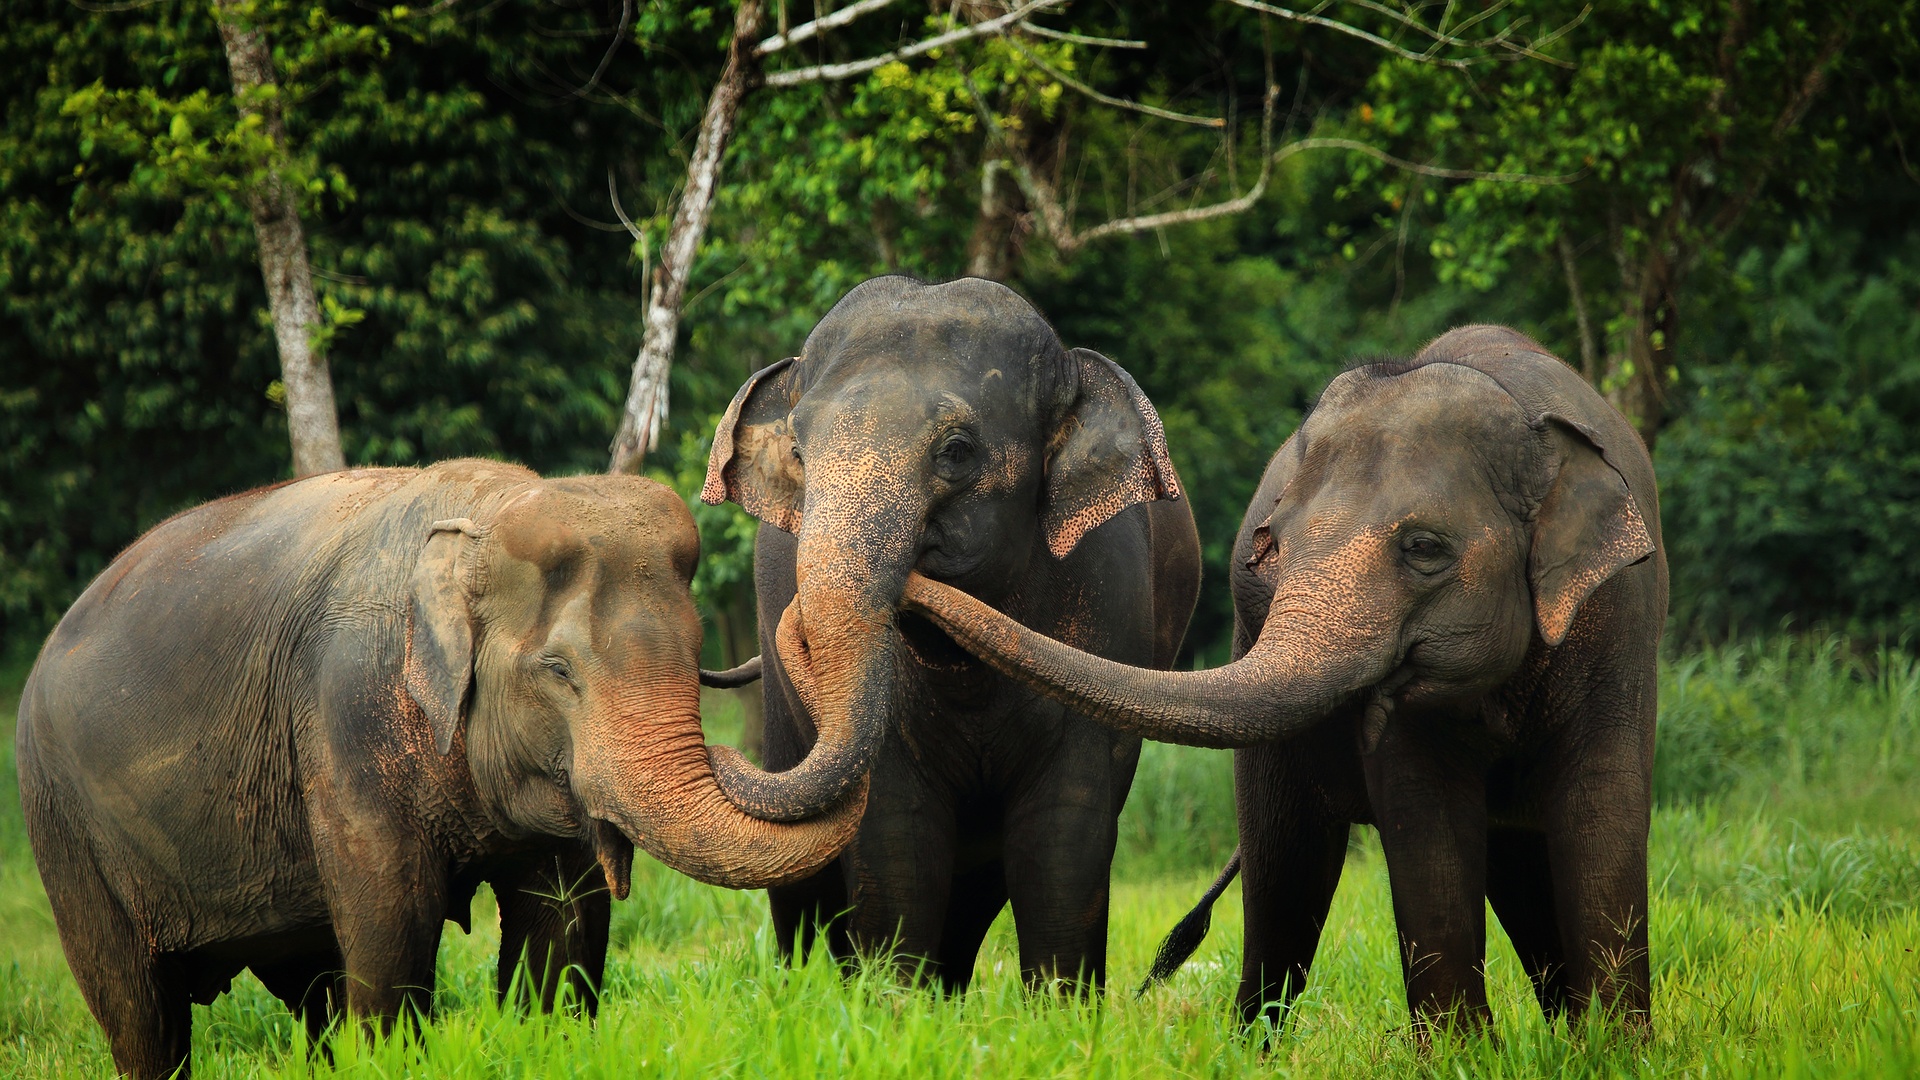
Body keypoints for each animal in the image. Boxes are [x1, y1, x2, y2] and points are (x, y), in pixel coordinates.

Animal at [15, 459, 865, 1079]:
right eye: (558, 671)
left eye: (696, 656)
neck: (484, 513)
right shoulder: (345, 716)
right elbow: (392, 924)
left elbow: (561, 927)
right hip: (62, 825)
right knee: (140, 1012)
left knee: (308, 985)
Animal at [700, 275, 1201, 993]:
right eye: (798, 453)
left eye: (956, 451)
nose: (717, 753)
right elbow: (896, 832)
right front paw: (889, 1002)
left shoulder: (1111, 606)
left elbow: (1064, 832)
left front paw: (1062, 1008)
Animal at [903, 325, 1667, 1033]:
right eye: (1271, 547)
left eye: (1425, 548)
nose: (915, 573)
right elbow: (1428, 825)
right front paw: (1468, 1058)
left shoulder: (1620, 618)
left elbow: (1603, 807)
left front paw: (1617, 1052)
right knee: (1285, 874)